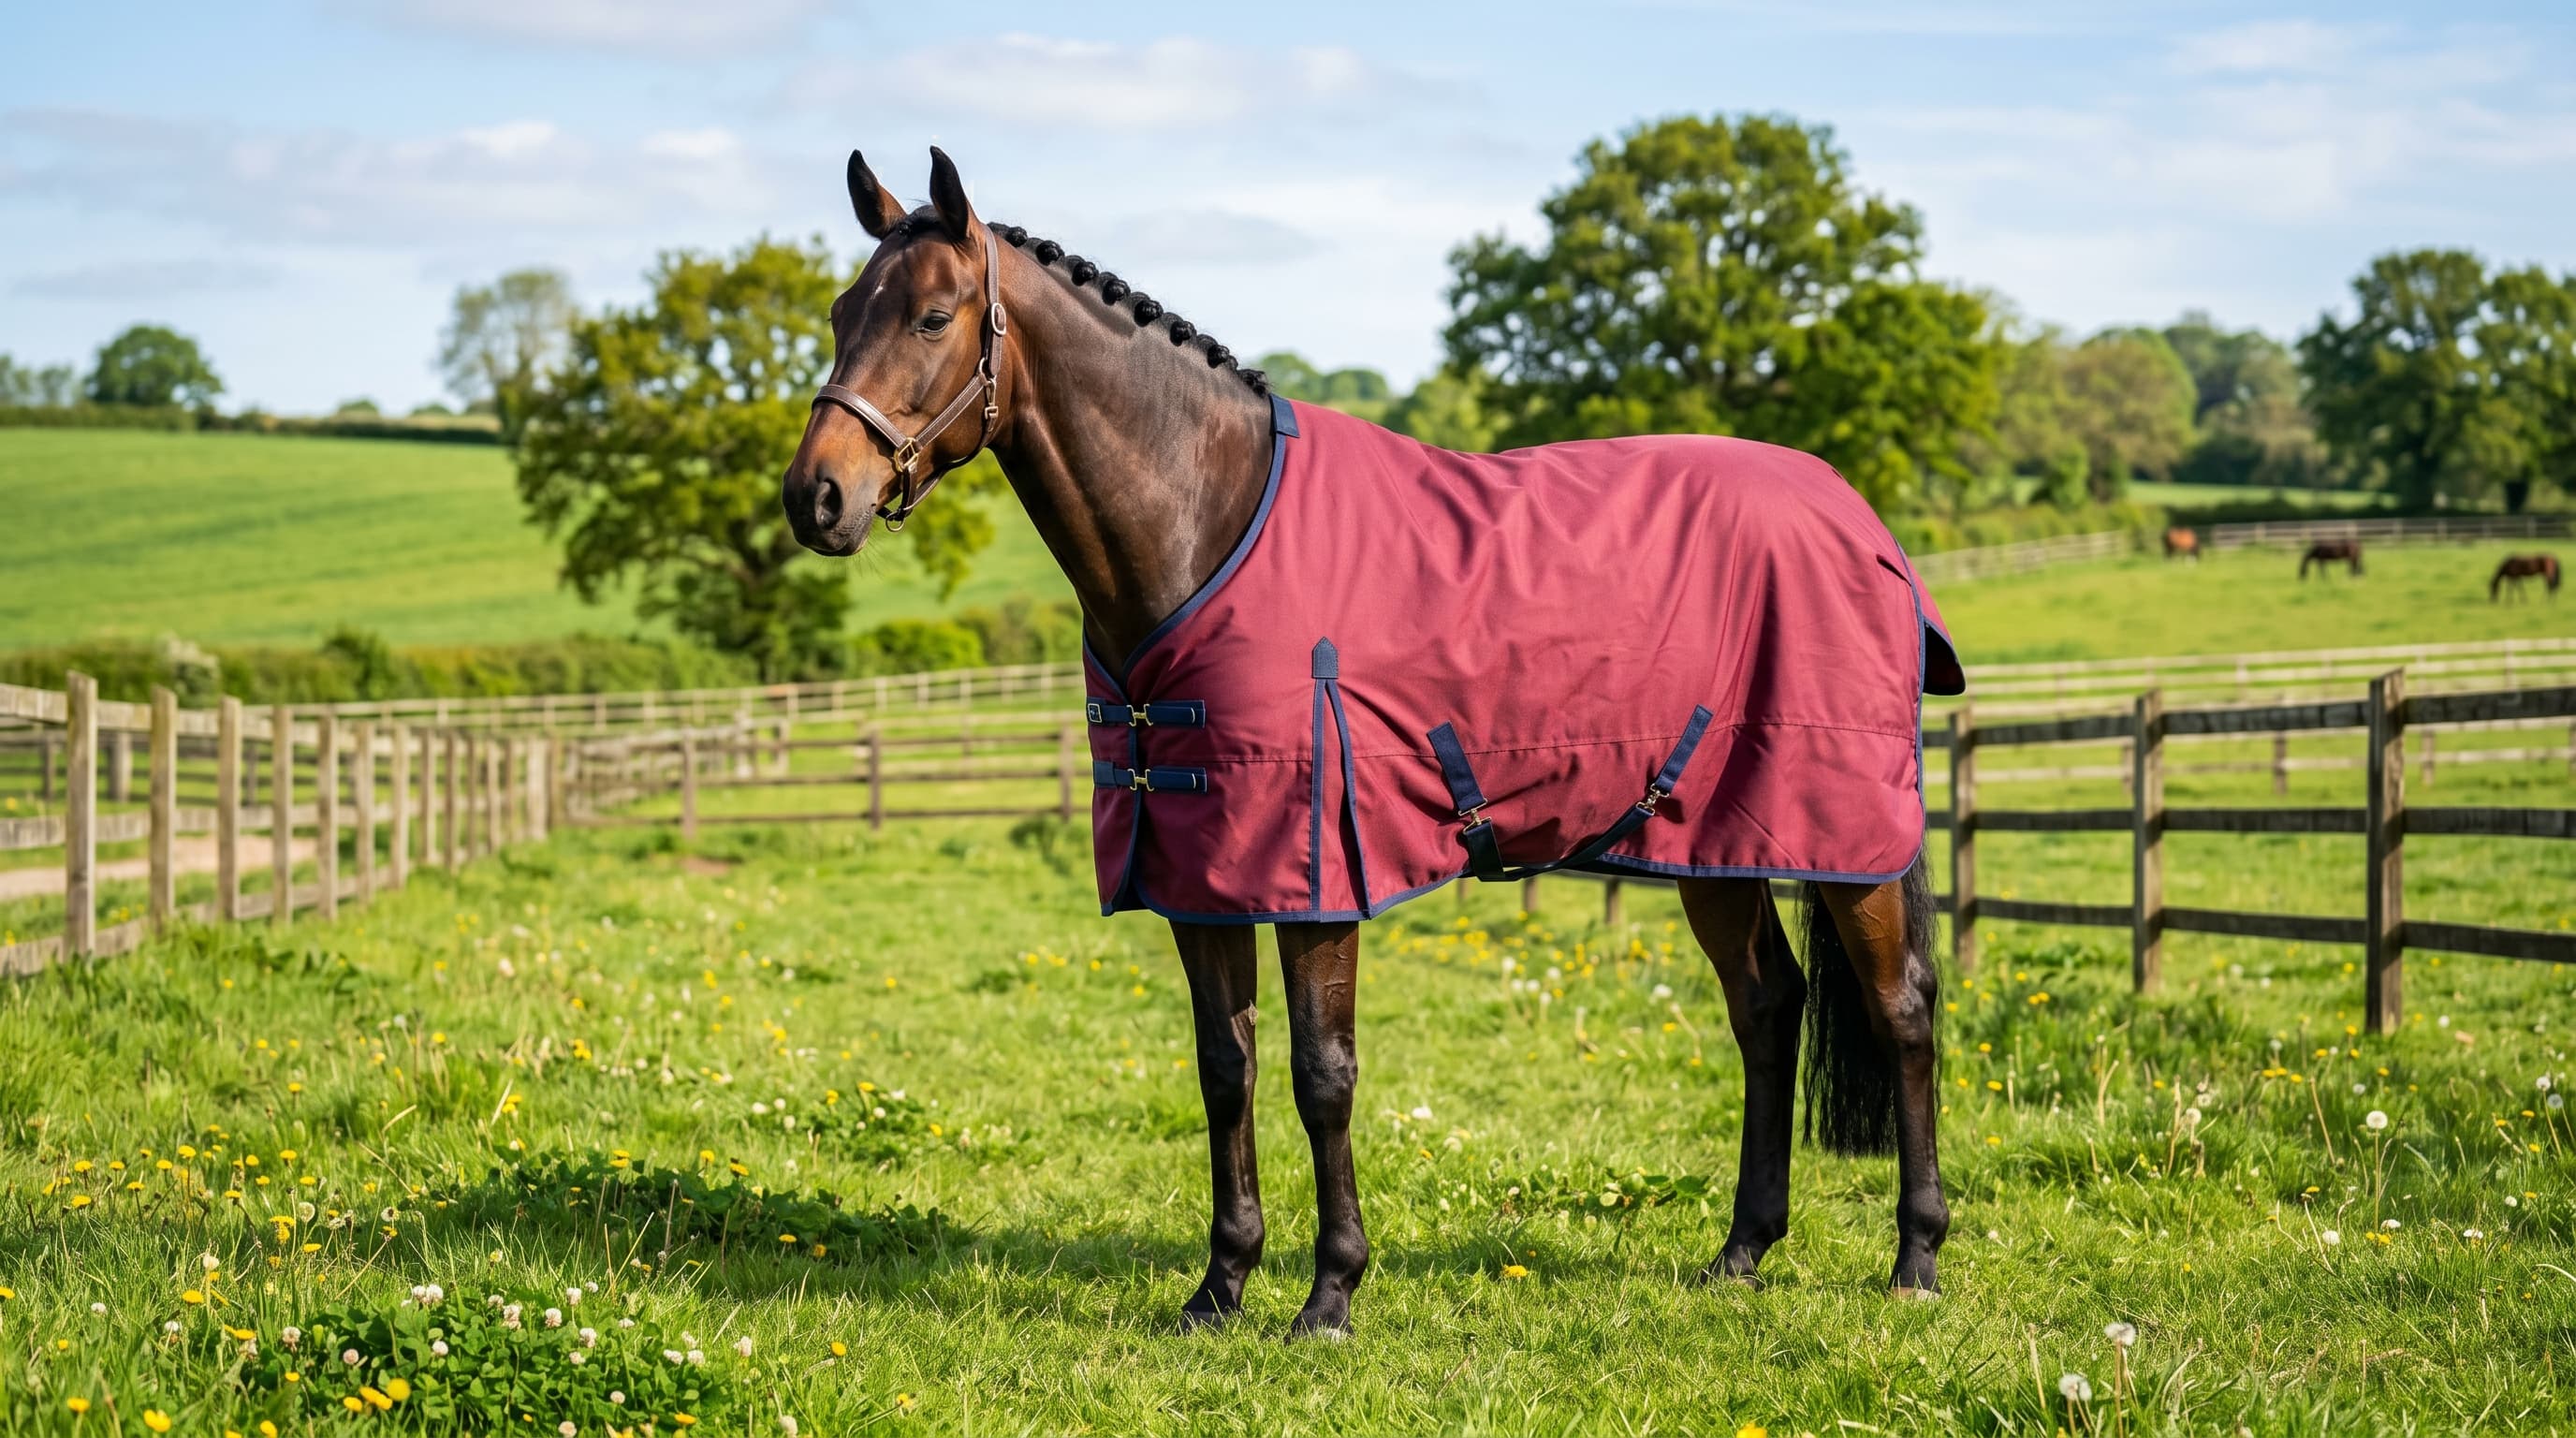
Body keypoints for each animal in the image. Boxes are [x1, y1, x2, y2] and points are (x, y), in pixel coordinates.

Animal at [781, 149, 1955, 1335]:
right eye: (839, 313)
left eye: (932, 316)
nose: (814, 497)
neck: (1205, 521)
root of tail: (1855, 517)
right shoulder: (1198, 874)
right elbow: (1226, 1069)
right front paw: (1221, 1285)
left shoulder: (1316, 877)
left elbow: (1322, 1073)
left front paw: (1330, 1292)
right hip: (1710, 844)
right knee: (1766, 1006)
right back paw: (1742, 1250)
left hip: (1847, 838)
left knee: (1901, 1011)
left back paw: (1915, 1257)